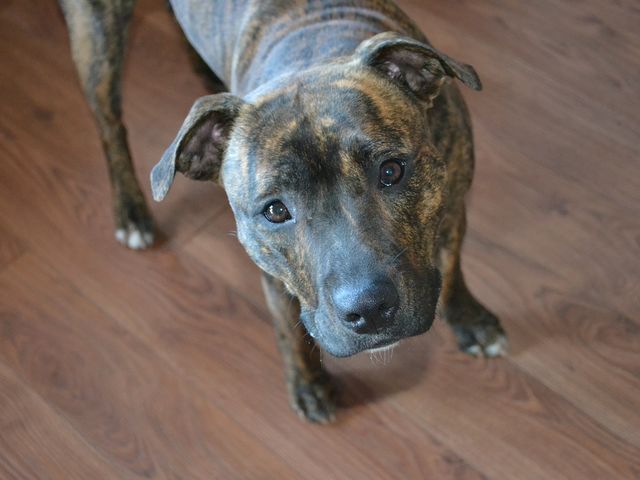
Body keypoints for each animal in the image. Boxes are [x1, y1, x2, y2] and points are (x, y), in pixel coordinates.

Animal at [61, 0, 510, 420]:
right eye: (276, 211)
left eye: (392, 171)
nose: (369, 309)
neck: (310, 48)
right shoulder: (272, 271)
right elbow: (286, 326)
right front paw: (308, 383)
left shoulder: (452, 204)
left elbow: (451, 268)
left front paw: (470, 321)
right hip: (97, 36)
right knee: (109, 123)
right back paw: (131, 211)